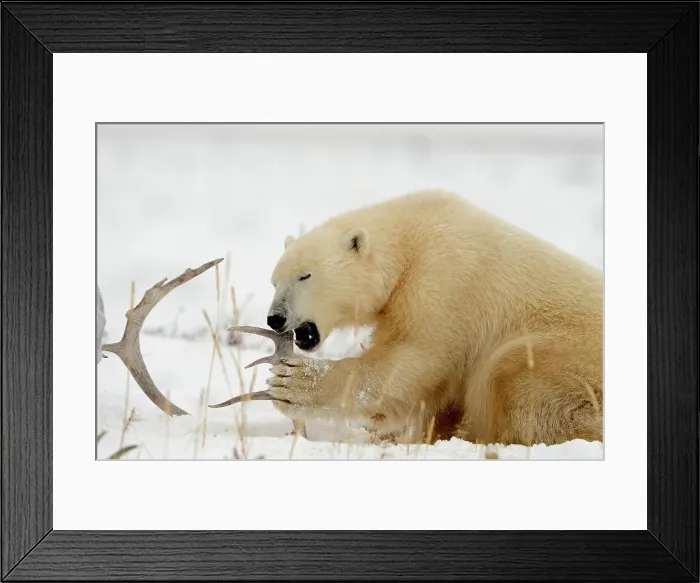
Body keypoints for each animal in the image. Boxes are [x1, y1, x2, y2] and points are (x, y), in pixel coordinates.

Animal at [263, 189, 603, 446]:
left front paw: (291, 381)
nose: (275, 318)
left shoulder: (441, 281)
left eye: (305, 275)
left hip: (563, 358)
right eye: (274, 281)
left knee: (514, 379)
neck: (409, 240)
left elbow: (411, 360)